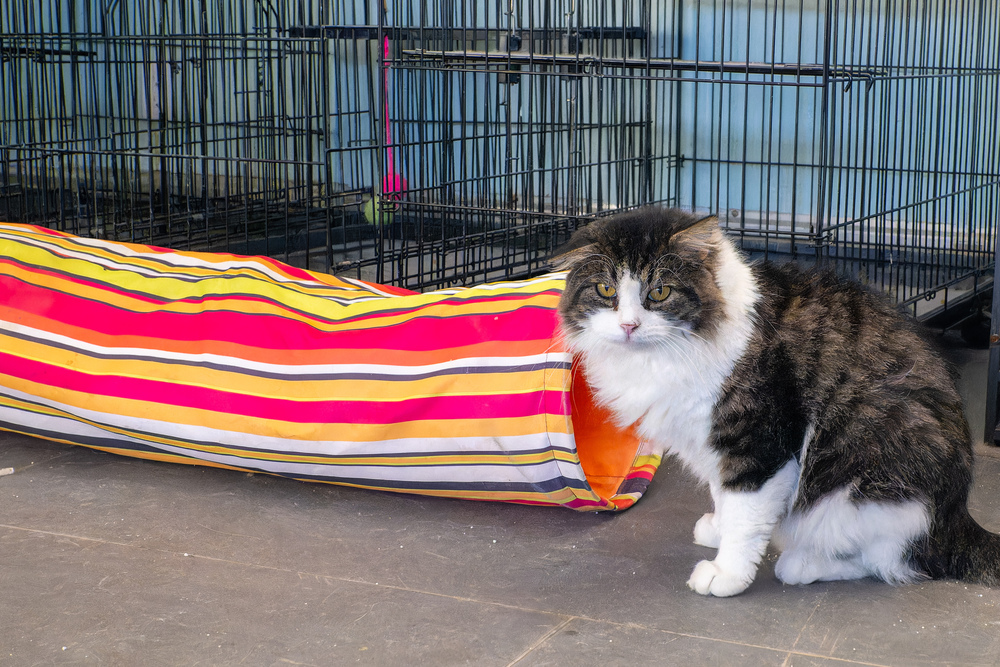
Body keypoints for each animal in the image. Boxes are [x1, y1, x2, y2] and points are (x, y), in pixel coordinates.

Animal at [556, 206, 1000, 596]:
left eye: (659, 292)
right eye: (606, 290)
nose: (628, 326)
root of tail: (956, 518)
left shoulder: (759, 441)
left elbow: (745, 515)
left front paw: (726, 573)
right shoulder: (713, 445)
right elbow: (723, 495)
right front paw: (718, 528)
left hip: (865, 489)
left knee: (890, 561)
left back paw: (802, 563)